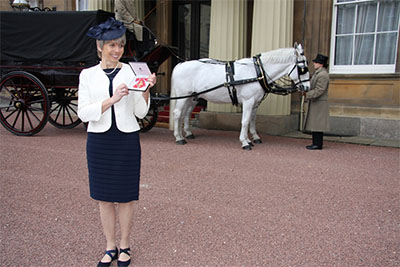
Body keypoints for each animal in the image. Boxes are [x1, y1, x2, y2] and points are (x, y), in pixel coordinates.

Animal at [170, 43, 310, 150]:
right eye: (303, 68)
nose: (307, 88)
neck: (257, 71)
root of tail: (180, 65)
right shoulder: (248, 101)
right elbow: (245, 121)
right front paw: (245, 142)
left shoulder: (255, 103)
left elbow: (252, 120)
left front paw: (253, 138)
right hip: (183, 96)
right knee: (177, 113)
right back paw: (178, 137)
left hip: (191, 97)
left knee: (185, 113)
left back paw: (187, 133)